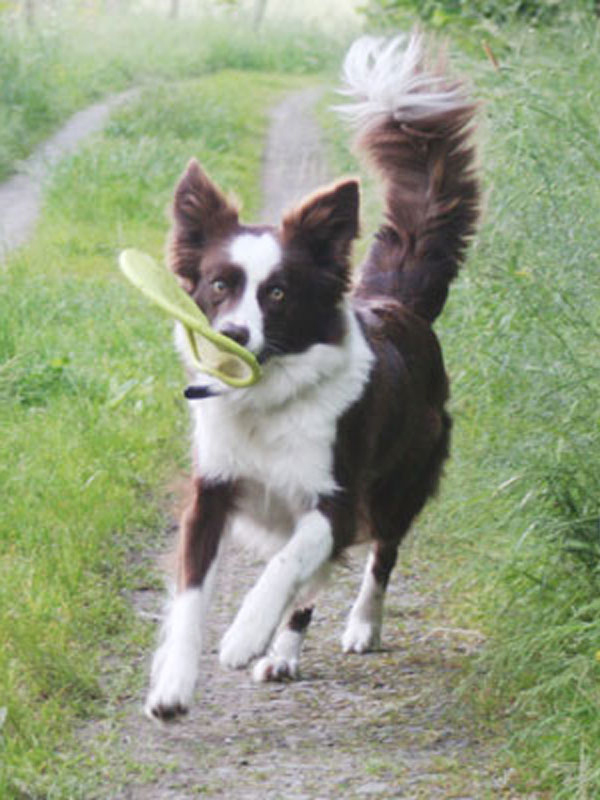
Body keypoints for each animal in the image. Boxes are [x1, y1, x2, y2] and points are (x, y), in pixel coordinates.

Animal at [144, 31, 478, 720]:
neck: (268, 399)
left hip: (400, 482)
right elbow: (191, 594)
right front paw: (173, 685)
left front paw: (245, 634)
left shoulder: (336, 499)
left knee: (379, 556)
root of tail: (399, 304)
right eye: (218, 286)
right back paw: (283, 653)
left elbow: (290, 565)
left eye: (277, 293)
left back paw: (356, 627)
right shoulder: (212, 490)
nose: (234, 338)